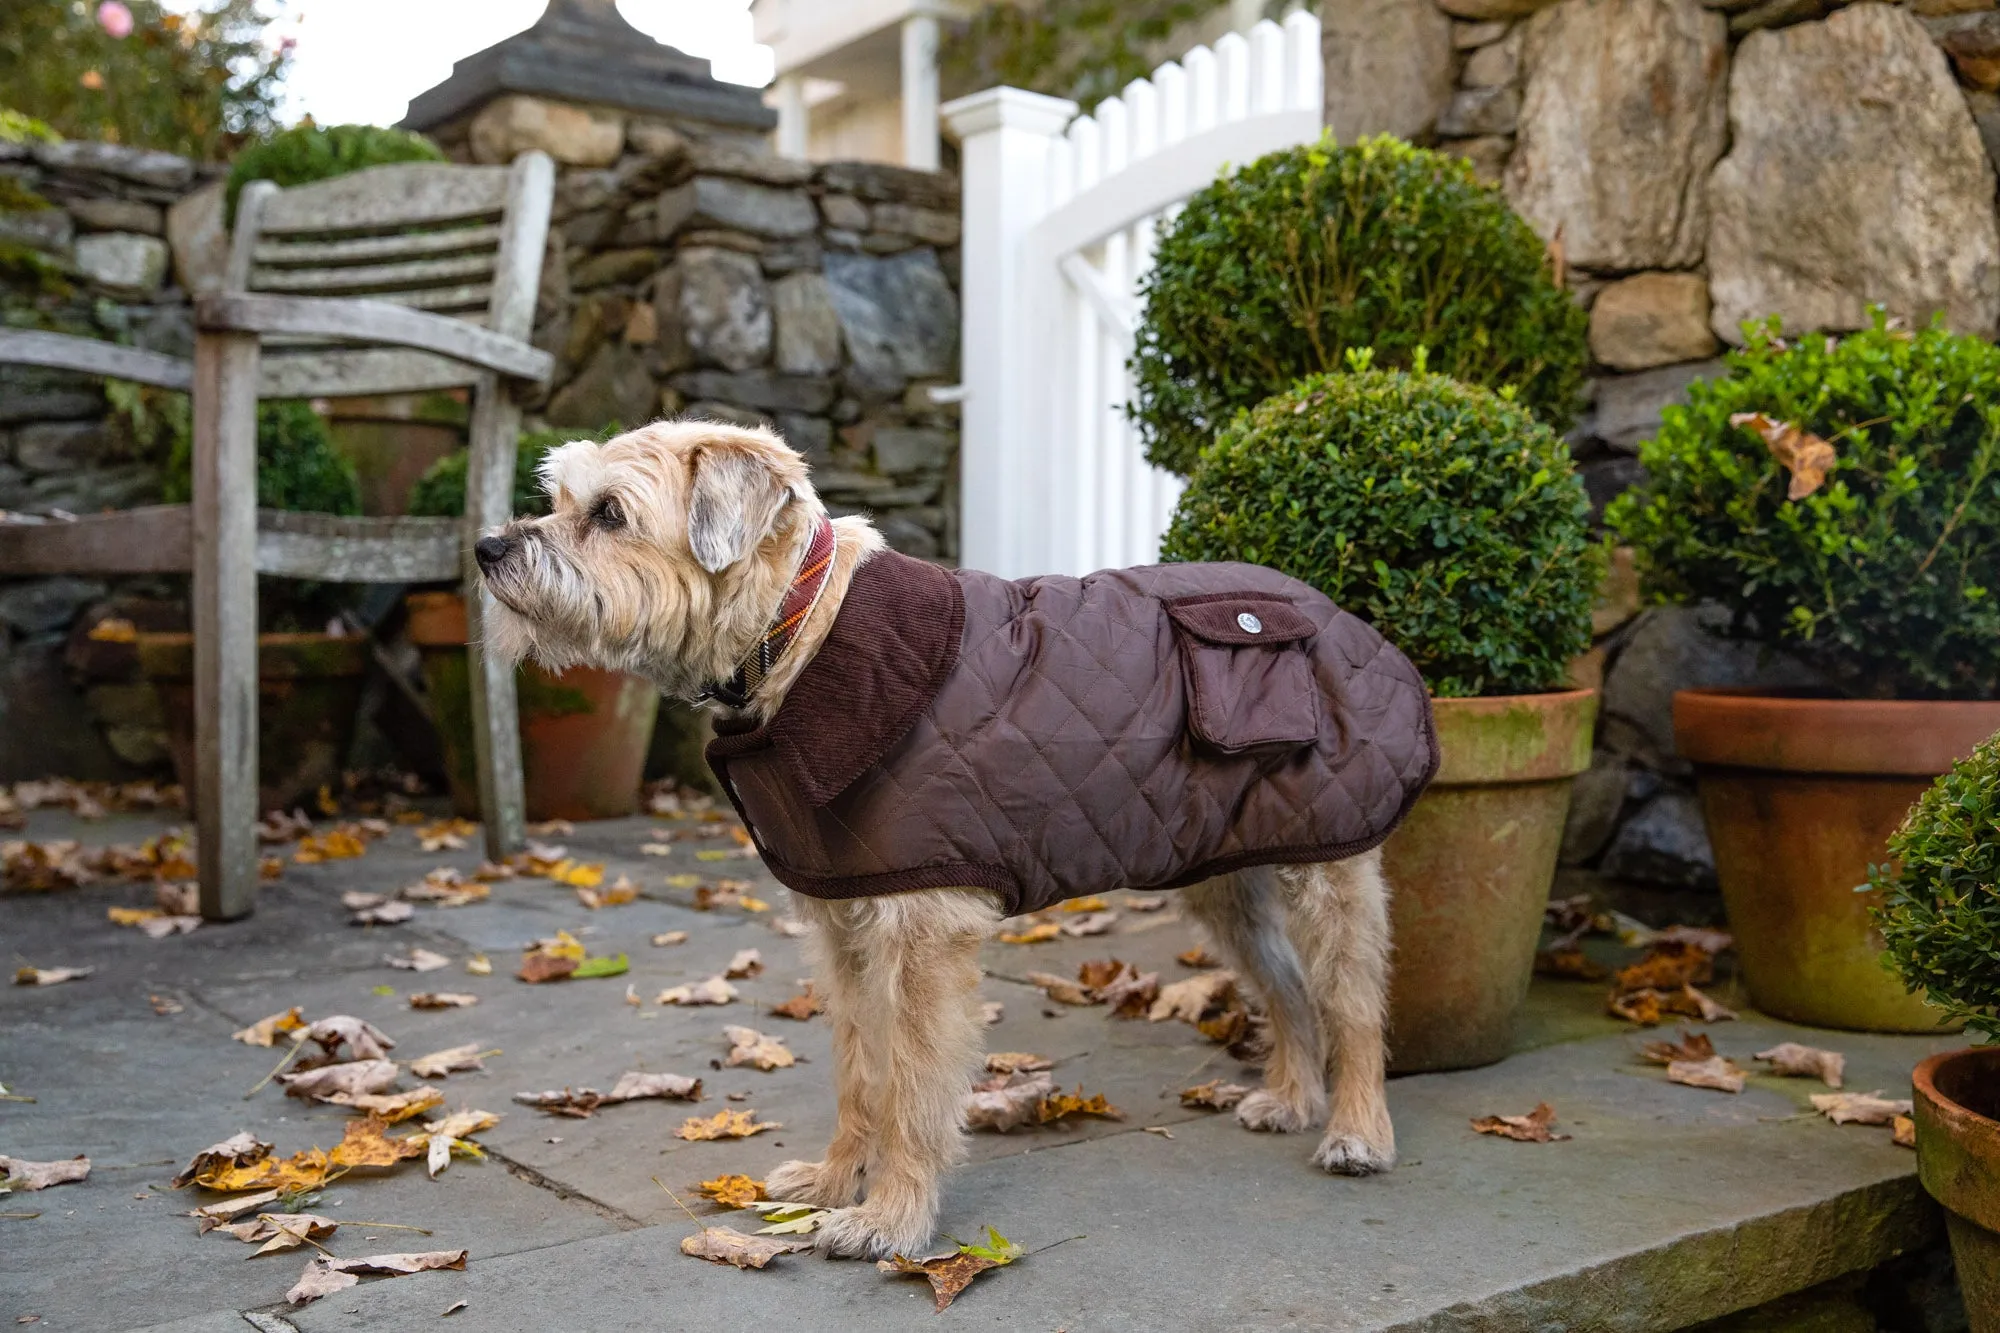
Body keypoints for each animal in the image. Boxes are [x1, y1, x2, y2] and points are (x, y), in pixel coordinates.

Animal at [476, 418, 1432, 1256]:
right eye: (560, 498)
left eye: (609, 514)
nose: (486, 548)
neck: (797, 626)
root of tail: (1335, 613)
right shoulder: (847, 927)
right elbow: (859, 1070)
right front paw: (834, 1182)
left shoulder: (923, 934)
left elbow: (912, 1086)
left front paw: (891, 1220)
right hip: (1227, 877)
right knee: (1289, 991)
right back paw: (1293, 1096)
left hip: (1329, 868)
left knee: (1352, 1004)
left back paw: (1357, 1130)